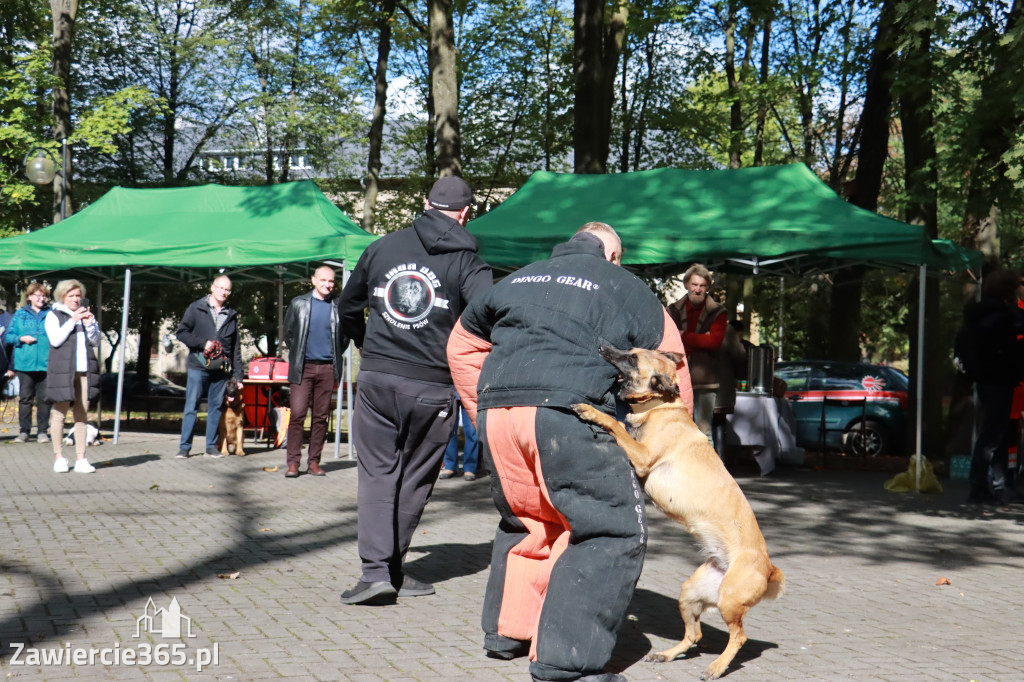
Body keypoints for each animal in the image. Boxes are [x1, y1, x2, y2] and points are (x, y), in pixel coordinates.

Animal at [577, 342, 782, 675]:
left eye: (632, 358)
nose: (603, 345)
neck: (658, 407)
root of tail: (769, 568)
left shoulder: (642, 457)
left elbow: (616, 424)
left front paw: (591, 411)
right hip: (691, 593)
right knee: (695, 634)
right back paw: (667, 655)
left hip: (729, 600)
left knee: (739, 636)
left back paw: (717, 667)